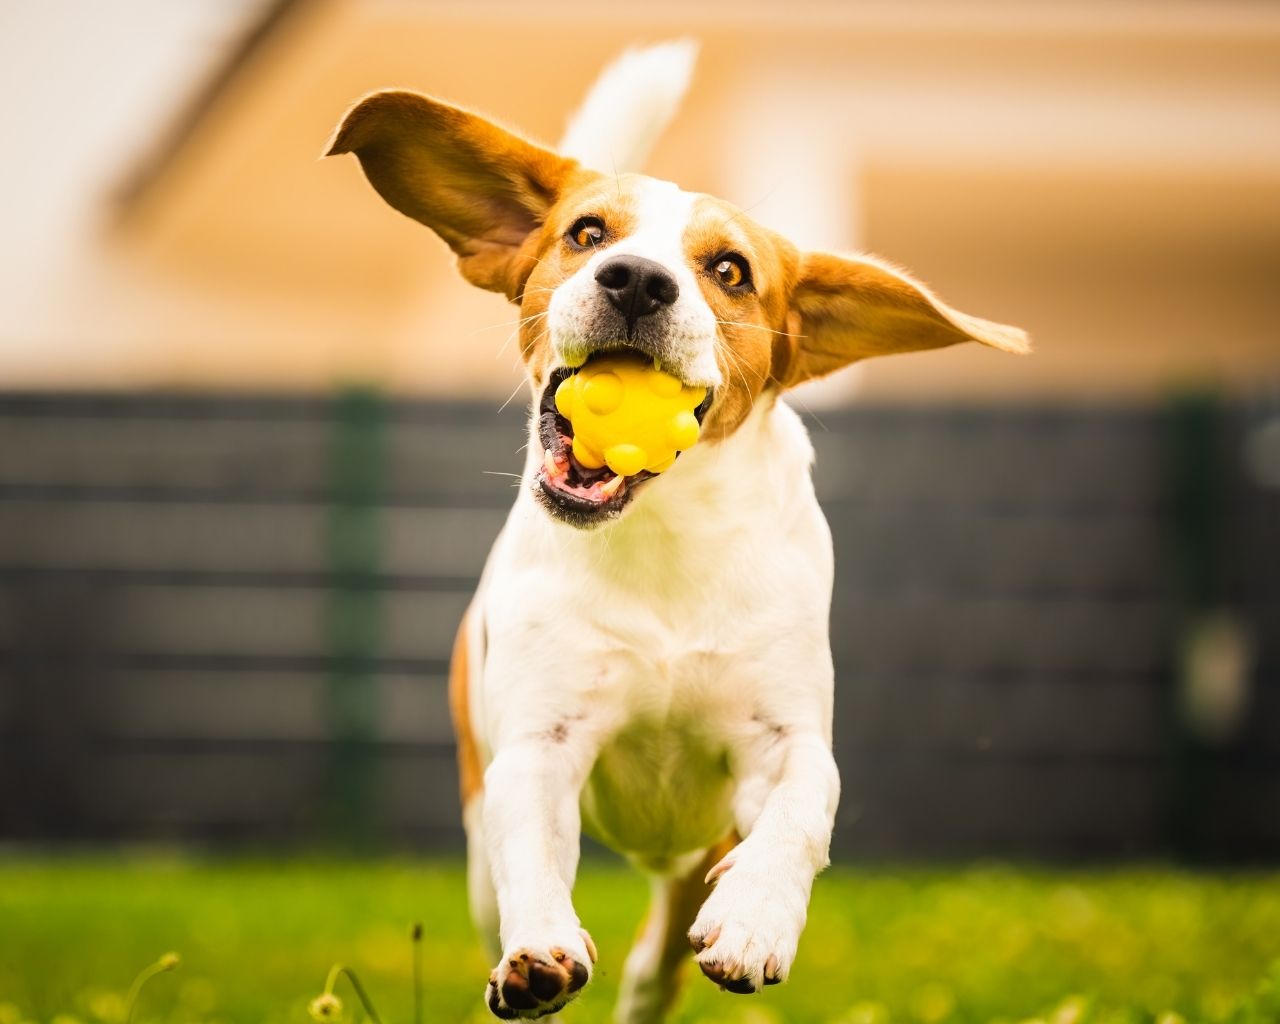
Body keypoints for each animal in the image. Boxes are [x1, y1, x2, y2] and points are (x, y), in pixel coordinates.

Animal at [327, 41, 1018, 1024]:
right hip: (478, 847)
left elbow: (801, 811)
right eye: (588, 233)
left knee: (661, 953)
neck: (664, 540)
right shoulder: (538, 748)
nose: (637, 279)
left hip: (696, 847)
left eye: (729, 270)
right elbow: (531, 848)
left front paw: (756, 922)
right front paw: (539, 953)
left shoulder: (786, 741)